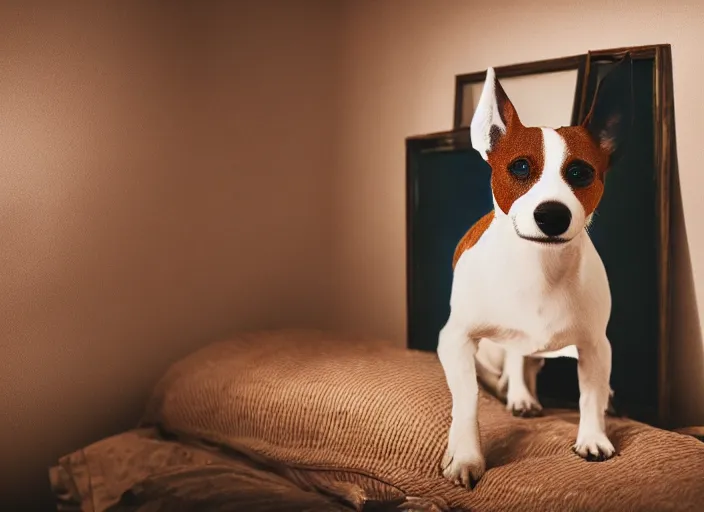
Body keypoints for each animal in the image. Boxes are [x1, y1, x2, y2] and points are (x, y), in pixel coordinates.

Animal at [440, 54, 632, 490]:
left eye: (580, 172)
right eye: (520, 167)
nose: (552, 215)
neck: (539, 268)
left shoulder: (595, 345)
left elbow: (590, 394)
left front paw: (593, 436)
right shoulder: (455, 339)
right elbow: (468, 399)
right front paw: (466, 455)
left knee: (524, 358)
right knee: (511, 357)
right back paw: (519, 396)